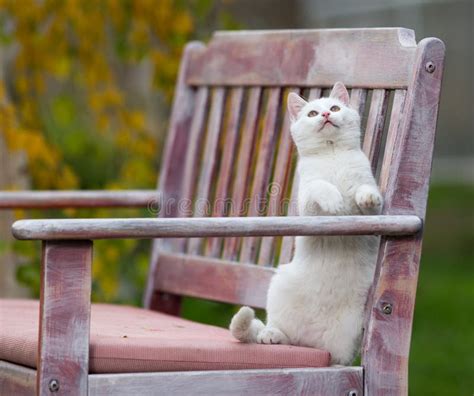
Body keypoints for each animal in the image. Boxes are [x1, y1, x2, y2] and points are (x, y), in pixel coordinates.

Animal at [231, 82, 384, 364]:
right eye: (312, 113)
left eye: (334, 107)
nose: (325, 114)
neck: (332, 155)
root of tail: (311, 344)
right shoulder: (306, 206)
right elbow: (320, 187)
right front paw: (334, 201)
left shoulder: (374, 210)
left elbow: (366, 192)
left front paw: (365, 197)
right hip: (278, 285)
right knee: (279, 335)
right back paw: (271, 335)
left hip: (347, 337)